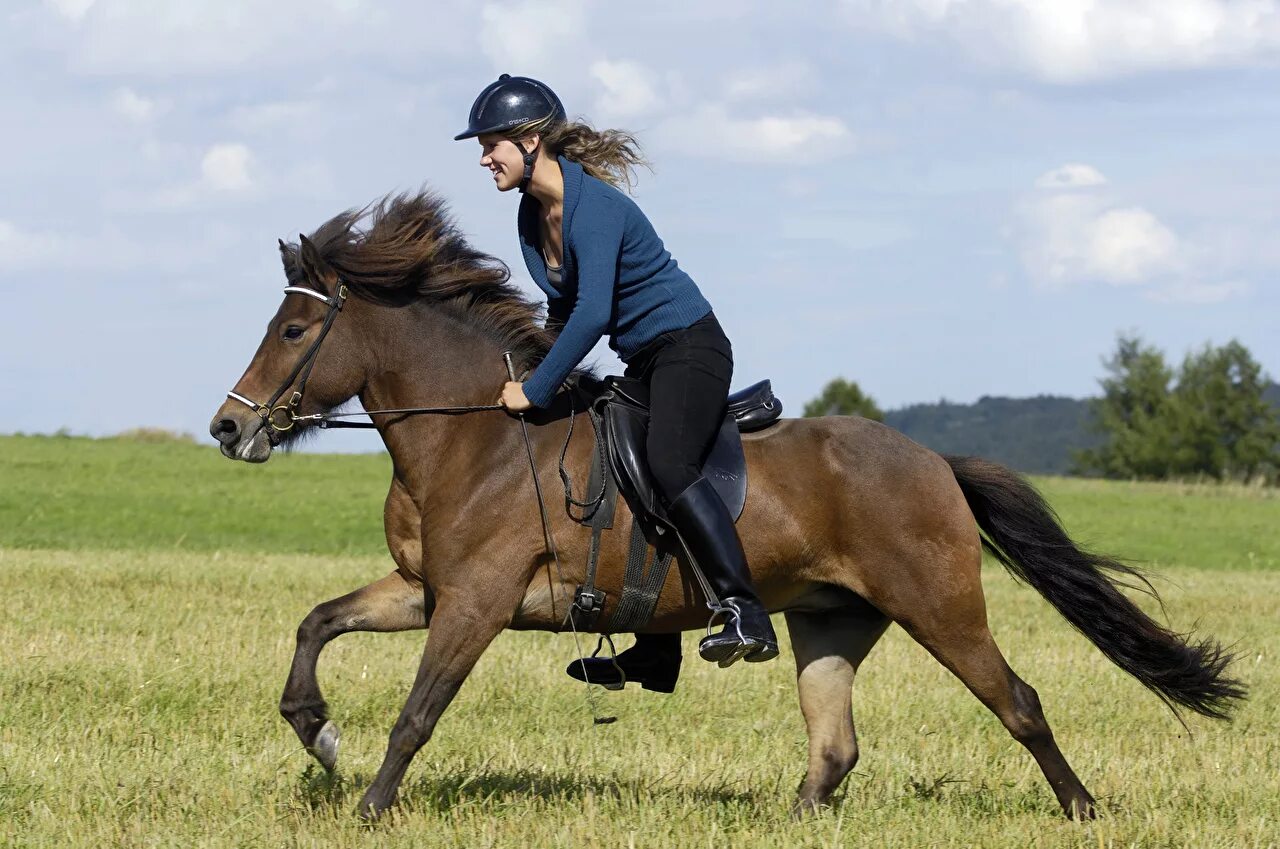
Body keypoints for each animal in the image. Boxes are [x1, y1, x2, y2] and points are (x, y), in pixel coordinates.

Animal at [207, 194, 1239, 824]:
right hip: (831, 620)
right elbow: (317, 623)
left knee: (1017, 703)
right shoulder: (427, 588)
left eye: (292, 329)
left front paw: (369, 803)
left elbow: (418, 712)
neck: (477, 438)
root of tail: (932, 462)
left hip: (941, 607)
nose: (228, 427)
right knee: (834, 746)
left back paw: (1084, 810)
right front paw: (318, 731)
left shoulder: (475, 603)